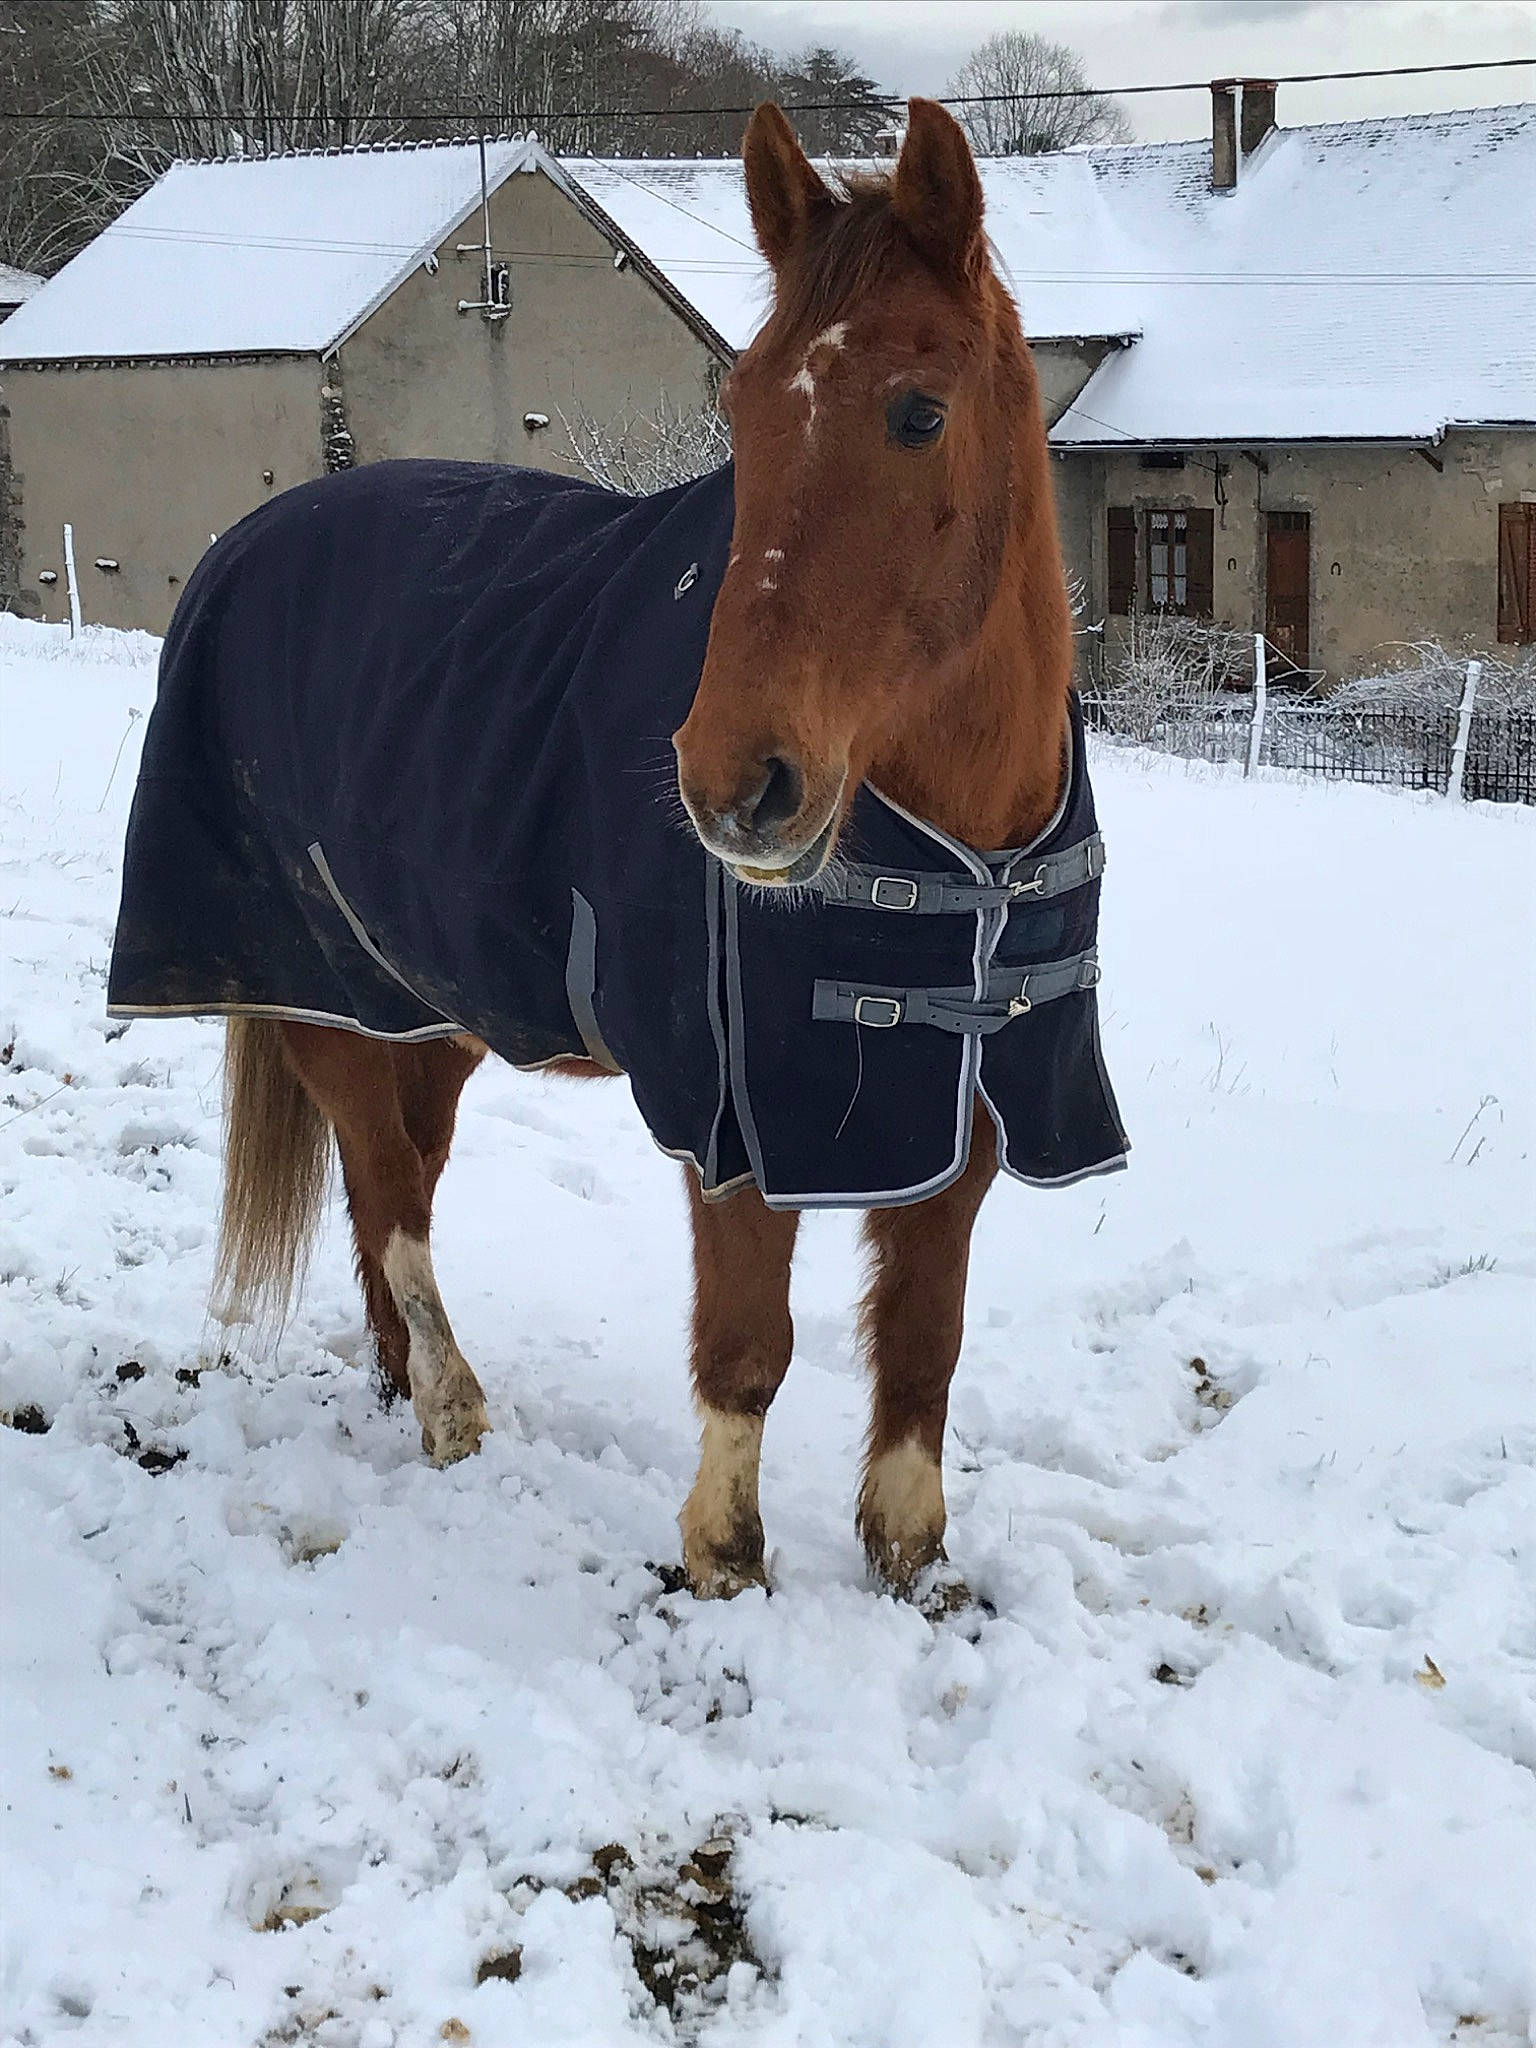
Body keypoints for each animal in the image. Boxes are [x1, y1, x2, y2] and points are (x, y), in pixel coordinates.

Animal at [113, 98, 1121, 1608]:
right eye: (742, 408)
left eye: (919, 412)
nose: (732, 784)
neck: (960, 848)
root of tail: (245, 545)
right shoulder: (733, 1111)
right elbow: (749, 1347)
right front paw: (724, 1561)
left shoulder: (967, 1106)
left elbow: (925, 1338)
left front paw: (913, 1561)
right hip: (328, 1002)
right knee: (392, 1196)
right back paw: (452, 1408)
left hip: (432, 1011)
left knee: (389, 1184)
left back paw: (398, 1385)